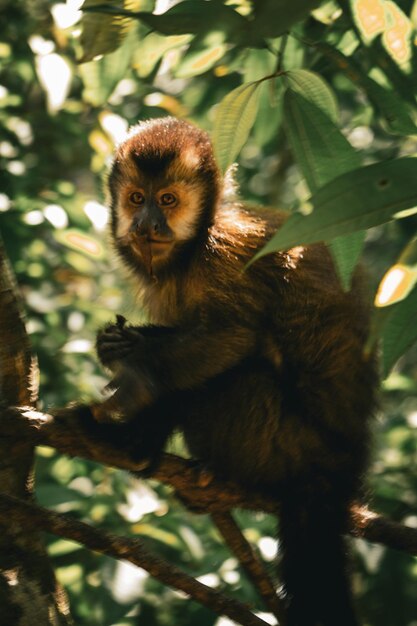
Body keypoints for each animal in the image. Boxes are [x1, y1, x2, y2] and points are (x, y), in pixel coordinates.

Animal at [86, 117, 376, 624]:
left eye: (168, 201)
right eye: (137, 198)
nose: (146, 224)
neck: (197, 243)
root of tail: (341, 465)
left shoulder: (226, 252)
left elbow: (231, 336)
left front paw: (138, 374)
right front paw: (123, 344)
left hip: (280, 444)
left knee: (234, 374)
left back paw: (137, 442)